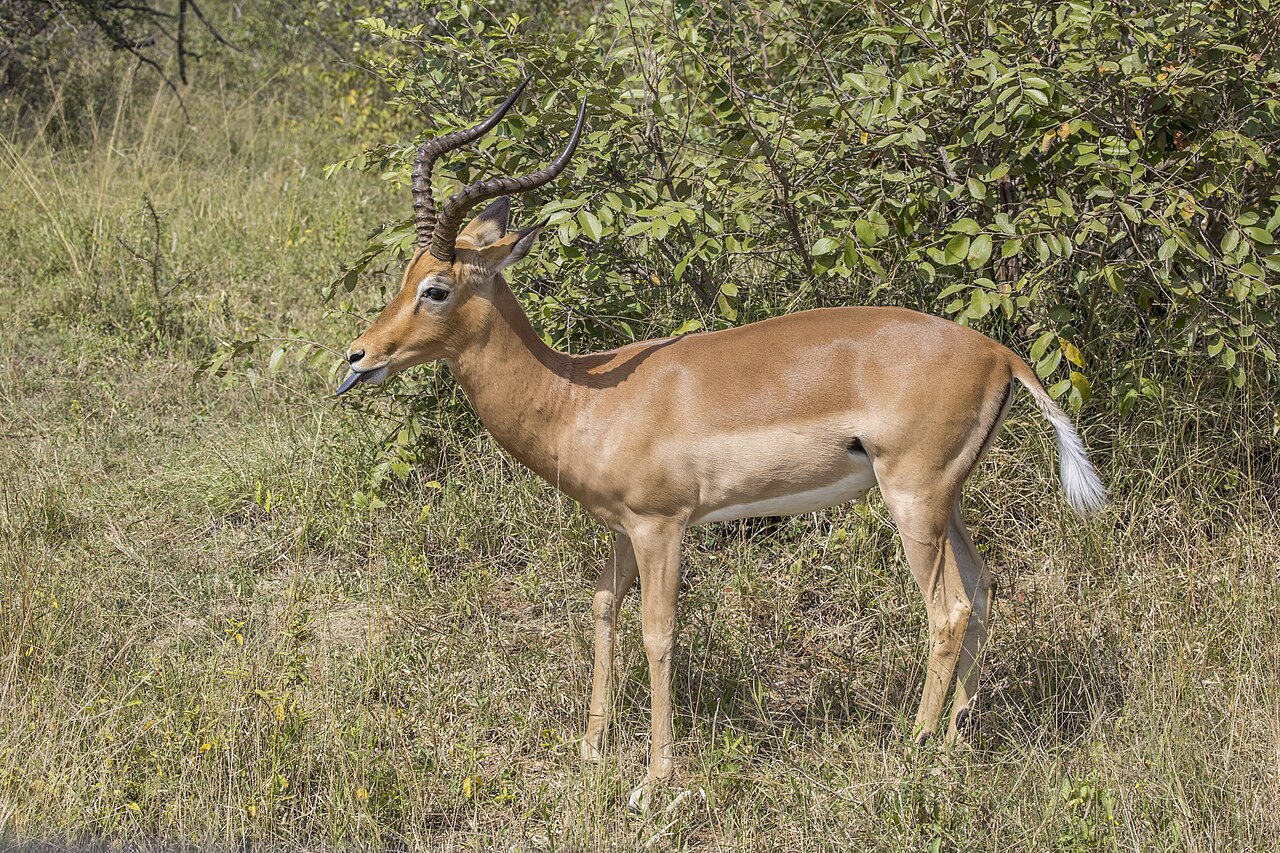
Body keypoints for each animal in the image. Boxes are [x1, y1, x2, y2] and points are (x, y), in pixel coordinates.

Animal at [337, 82, 1106, 811]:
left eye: (437, 288)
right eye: (403, 277)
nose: (357, 357)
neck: (585, 397)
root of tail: (999, 353)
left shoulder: (662, 526)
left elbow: (659, 633)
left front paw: (653, 783)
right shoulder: (621, 528)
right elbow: (601, 606)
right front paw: (591, 749)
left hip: (912, 498)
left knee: (948, 610)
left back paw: (911, 755)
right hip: (950, 500)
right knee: (982, 591)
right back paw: (952, 749)